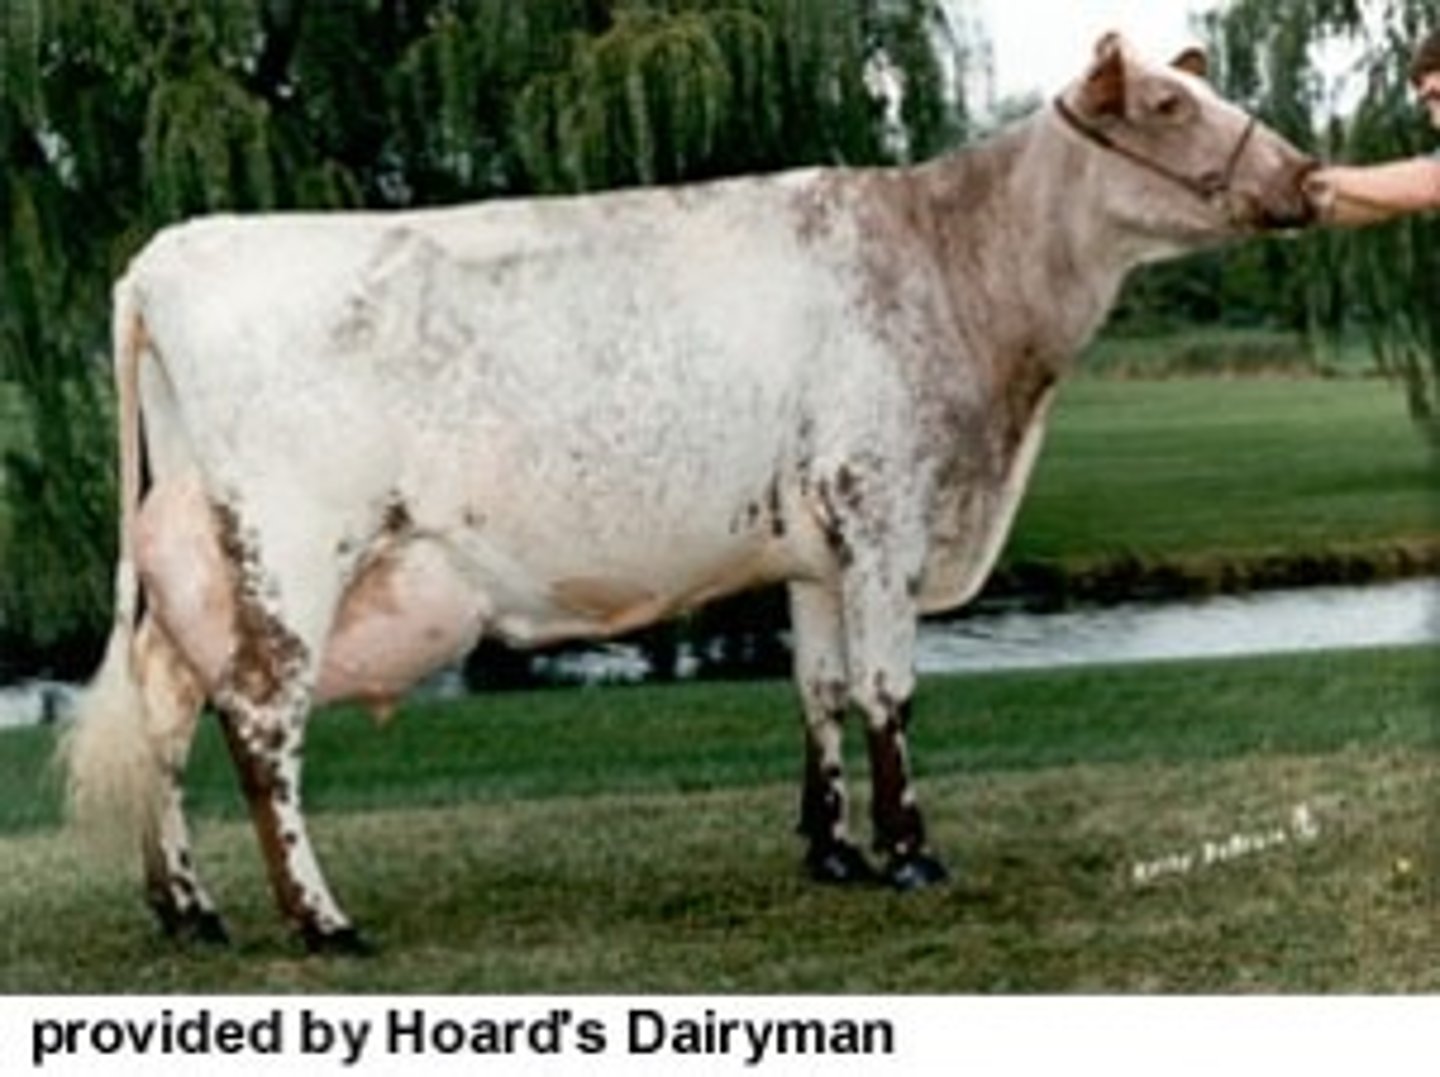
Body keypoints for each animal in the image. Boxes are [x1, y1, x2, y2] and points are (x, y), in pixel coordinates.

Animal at [63, 33, 1317, 954]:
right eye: (1165, 105)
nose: (1304, 177)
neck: (958, 271)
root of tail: (166, 255)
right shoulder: (884, 512)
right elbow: (888, 692)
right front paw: (911, 853)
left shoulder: (815, 545)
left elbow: (817, 689)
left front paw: (832, 850)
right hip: (292, 544)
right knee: (261, 718)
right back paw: (321, 920)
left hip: (195, 558)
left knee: (167, 712)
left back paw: (188, 909)